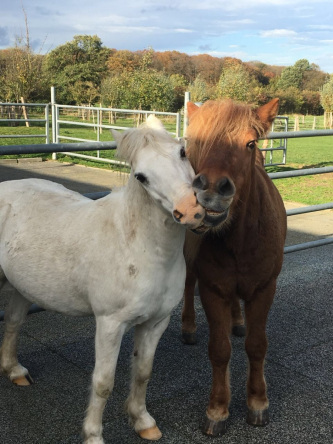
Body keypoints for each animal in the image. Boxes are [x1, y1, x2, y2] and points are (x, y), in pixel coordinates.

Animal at [0, 116, 205, 442]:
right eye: (141, 176)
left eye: (182, 153)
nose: (191, 210)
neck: (139, 246)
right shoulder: (110, 324)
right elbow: (103, 382)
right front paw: (93, 435)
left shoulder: (156, 323)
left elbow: (143, 372)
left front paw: (143, 421)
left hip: (23, 287)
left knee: (13, 322)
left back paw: (15, 371)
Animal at [180, 99, 286, 436]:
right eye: (193, 142)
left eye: (250, 143)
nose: (211, 189)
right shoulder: (213, 290)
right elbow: (219, 349)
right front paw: (217, 409)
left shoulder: (264, 288)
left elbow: (256, 345)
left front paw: (258, 402)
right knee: (188, 283)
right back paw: (188, 327)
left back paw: (238, 321)